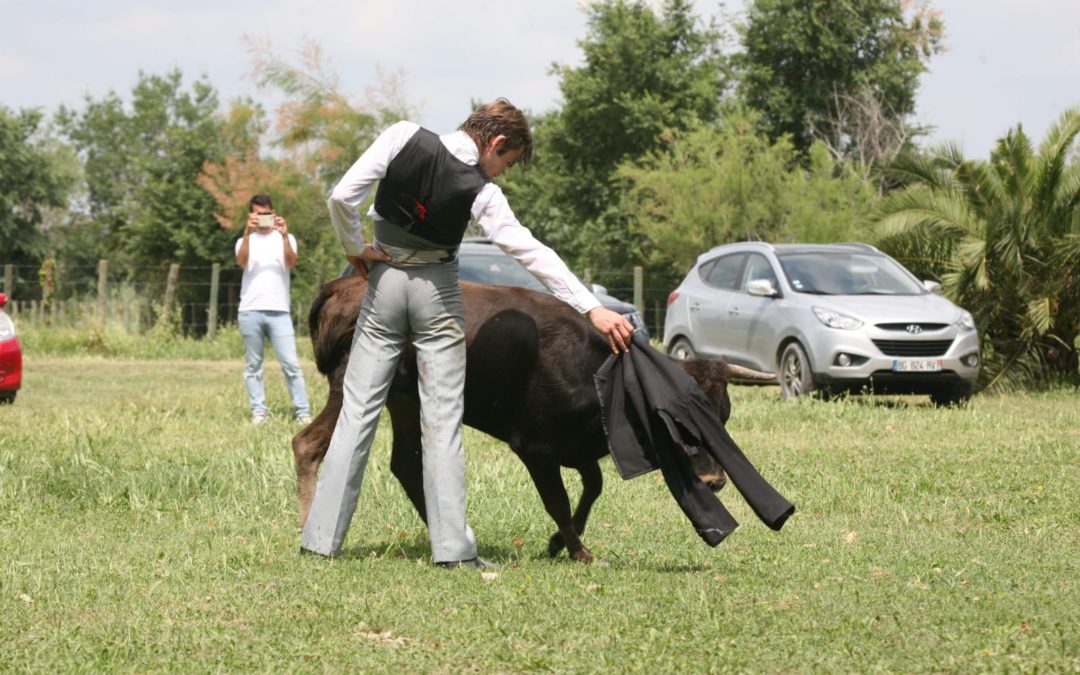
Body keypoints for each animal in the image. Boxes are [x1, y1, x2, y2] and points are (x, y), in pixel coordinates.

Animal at [293, 274, 768, 557]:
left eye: (723, 416)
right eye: (677, 421)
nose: (715, 481)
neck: (594, 371)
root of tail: (345, 284)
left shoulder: (576, 447)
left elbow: (593, 487)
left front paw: (561, 541)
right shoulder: (535, 448)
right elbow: (557, 499)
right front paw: (578, 550)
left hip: (406, 399)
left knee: (406, 465)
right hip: (353, 388)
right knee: (308, 445)